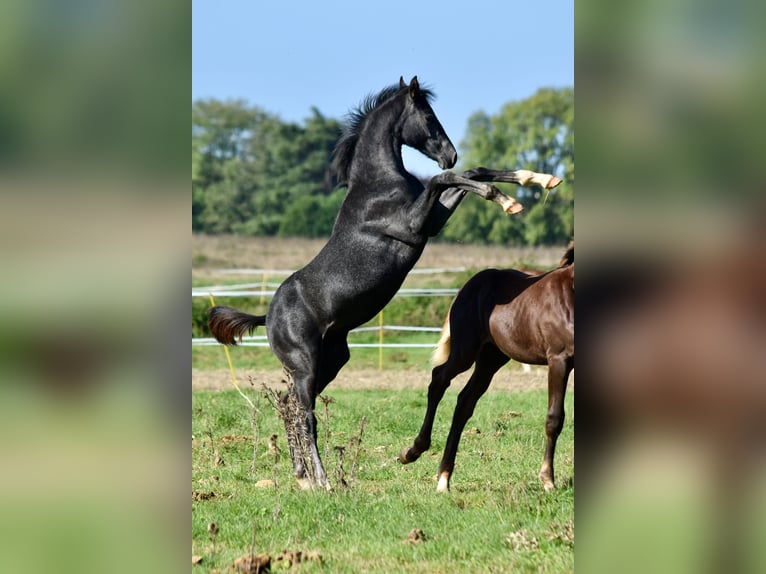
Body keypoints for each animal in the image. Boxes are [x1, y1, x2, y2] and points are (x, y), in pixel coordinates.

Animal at [399, 242, 574, 493]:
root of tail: (468, 286)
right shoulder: (559, 359)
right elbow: (554, 418)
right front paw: (548, 480)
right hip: (466, 351)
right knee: (439, 379)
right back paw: (414, 452)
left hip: (491, 359)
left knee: (464, 402)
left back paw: (444, 477)